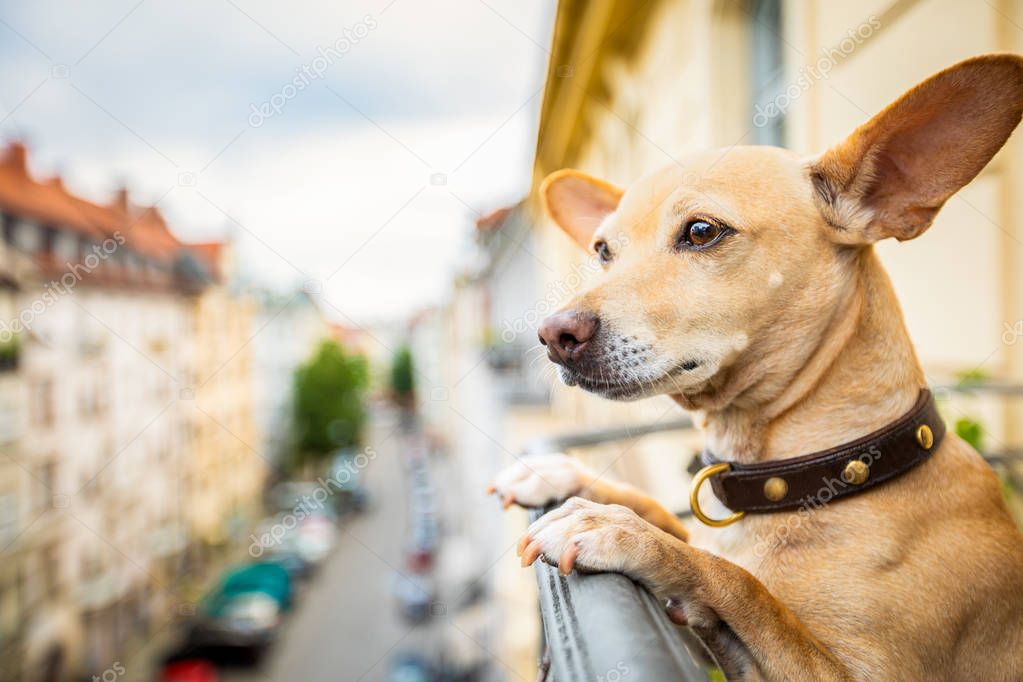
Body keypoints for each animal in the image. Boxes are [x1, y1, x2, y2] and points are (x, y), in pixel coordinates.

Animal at [486, 55, 1023, 678]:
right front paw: (570, 477)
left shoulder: (842, 670)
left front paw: (625, 533)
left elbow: (745, 586)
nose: (554, 335)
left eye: (701, 231)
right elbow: (674, 520)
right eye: (602, 251)